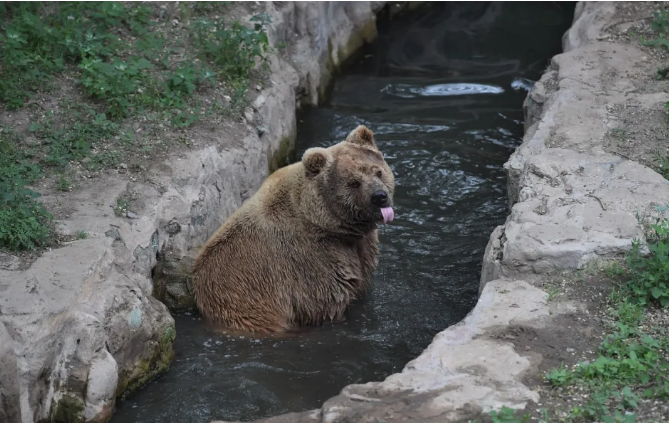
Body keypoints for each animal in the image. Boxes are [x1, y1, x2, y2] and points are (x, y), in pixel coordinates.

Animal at [190, 126, 394, 334]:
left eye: (378, 172)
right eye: (353, 182)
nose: (379, 196)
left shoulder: (360, 248)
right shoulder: (309, 261)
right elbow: (326, 302)